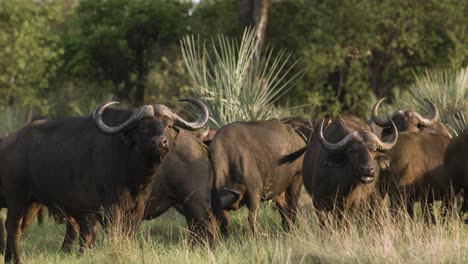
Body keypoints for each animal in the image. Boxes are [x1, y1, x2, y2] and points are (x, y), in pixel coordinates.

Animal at [0, 98, 207, 262]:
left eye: (168, 124)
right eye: (143, 127)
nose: (159, 142)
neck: (132, 174)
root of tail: (10, 141)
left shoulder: (137, 208)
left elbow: (128, 234)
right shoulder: (110, 208)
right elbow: (112, 234)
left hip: (31, 202)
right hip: (17, 199)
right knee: (12, 227)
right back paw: (15, 259)